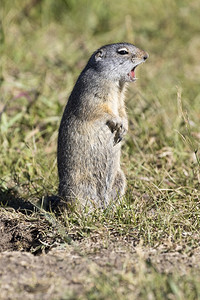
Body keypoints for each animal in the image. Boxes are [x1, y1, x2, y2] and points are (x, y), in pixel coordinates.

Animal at [57, 42, 148, 209]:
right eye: (122, 52)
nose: (146, 56)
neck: (116, 84)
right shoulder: (91, 93)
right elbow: (101, 110)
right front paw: (117, 122)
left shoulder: (120, 100)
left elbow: (122, 110)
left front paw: (124, 128)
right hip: (79, 186)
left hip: (119, 178)